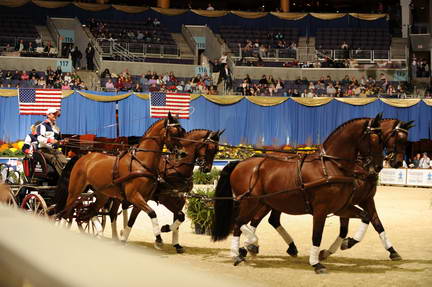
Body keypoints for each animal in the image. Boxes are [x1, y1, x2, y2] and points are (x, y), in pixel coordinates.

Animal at [57, 113, 186, 246]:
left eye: (182, 132)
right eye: (174, 133)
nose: (183, 153)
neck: (141, 163)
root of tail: (82, 157)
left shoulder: (142, 199)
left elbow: (133, 220)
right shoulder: (134, 196)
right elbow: (152, 213)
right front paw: (159, 238)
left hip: (102, 195)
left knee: (88, 213)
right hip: (74, 192)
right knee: (66, 213)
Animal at [211, 115, 384, 274]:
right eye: (374, 138)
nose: (378, 166)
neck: (330, 166)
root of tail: (240, 163)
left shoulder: (340, 207)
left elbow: (366, 217)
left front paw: (348, 243)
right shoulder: (321, 210)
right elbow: (316, 236)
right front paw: (316, 263)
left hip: (262, 202)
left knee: (247, 223)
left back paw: (247, 248)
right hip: (250, 202)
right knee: (238, 222)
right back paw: (240, 251)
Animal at [241, 117, 414, 264]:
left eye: (405, 141)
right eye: (396, 138)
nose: (397, 162)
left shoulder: (365, 200)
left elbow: (377, 223)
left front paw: (392, 251)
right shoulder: (346, 203)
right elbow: (348, 228)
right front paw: (342, 245)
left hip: (277, 201)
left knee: (272, 220)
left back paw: (282, 247)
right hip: (268, 201)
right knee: (256, 220)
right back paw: (248, 246)